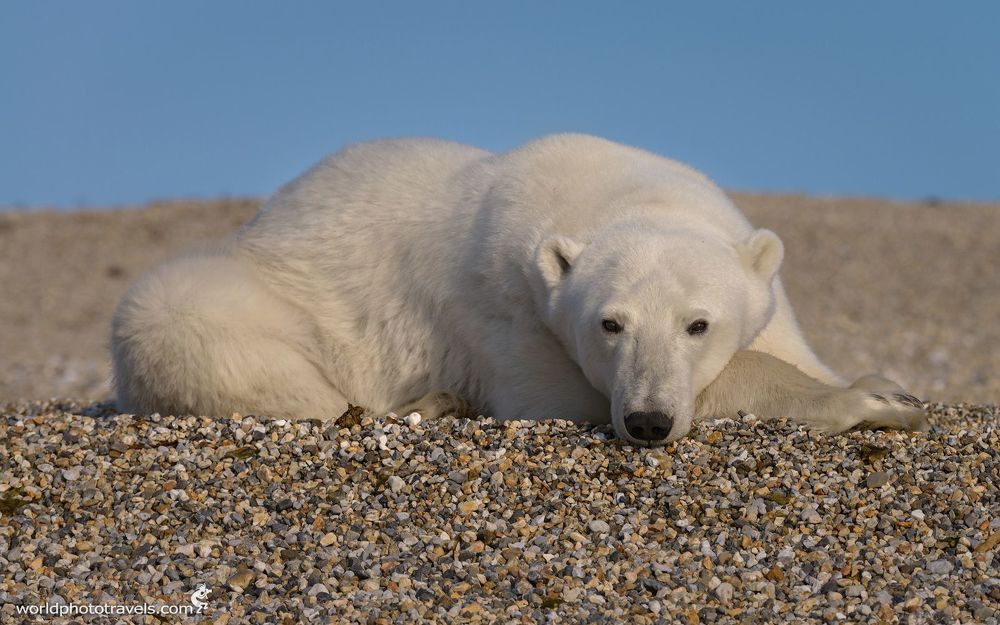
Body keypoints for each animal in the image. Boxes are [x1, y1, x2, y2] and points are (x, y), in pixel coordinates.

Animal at [111, 134, 928, 445]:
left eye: (699, 324)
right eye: (610, 324)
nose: (648, 421)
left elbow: (784, 341)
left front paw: (880, 381)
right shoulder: (505, 309)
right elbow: (557, 396)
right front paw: (876, 400)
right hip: (233, 294)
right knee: (197, 323)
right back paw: (425, 401)